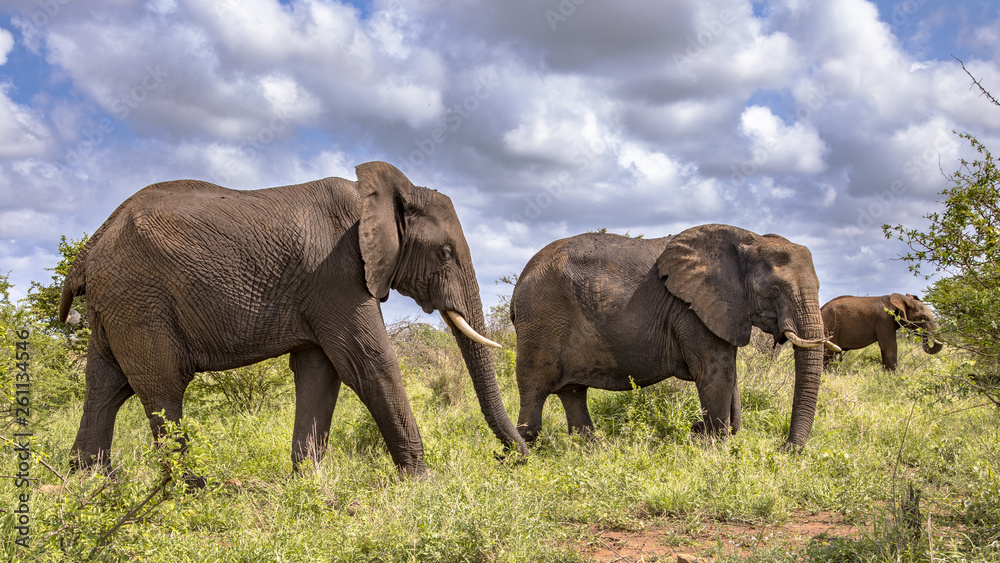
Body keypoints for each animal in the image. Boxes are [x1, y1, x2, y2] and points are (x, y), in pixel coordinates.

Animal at [60, 161, 532, 478]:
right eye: (446, 253)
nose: (514, 457)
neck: (382, 193)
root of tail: (90, 247)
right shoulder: (337, 272)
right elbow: (369, 362)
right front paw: (421, 481)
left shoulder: (323, 282)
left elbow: (320, 371)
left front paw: (309, 481)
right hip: (140, 301)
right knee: (162, 387)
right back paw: (191, 489)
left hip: (116, 305)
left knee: (105, 386)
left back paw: (91, 483)